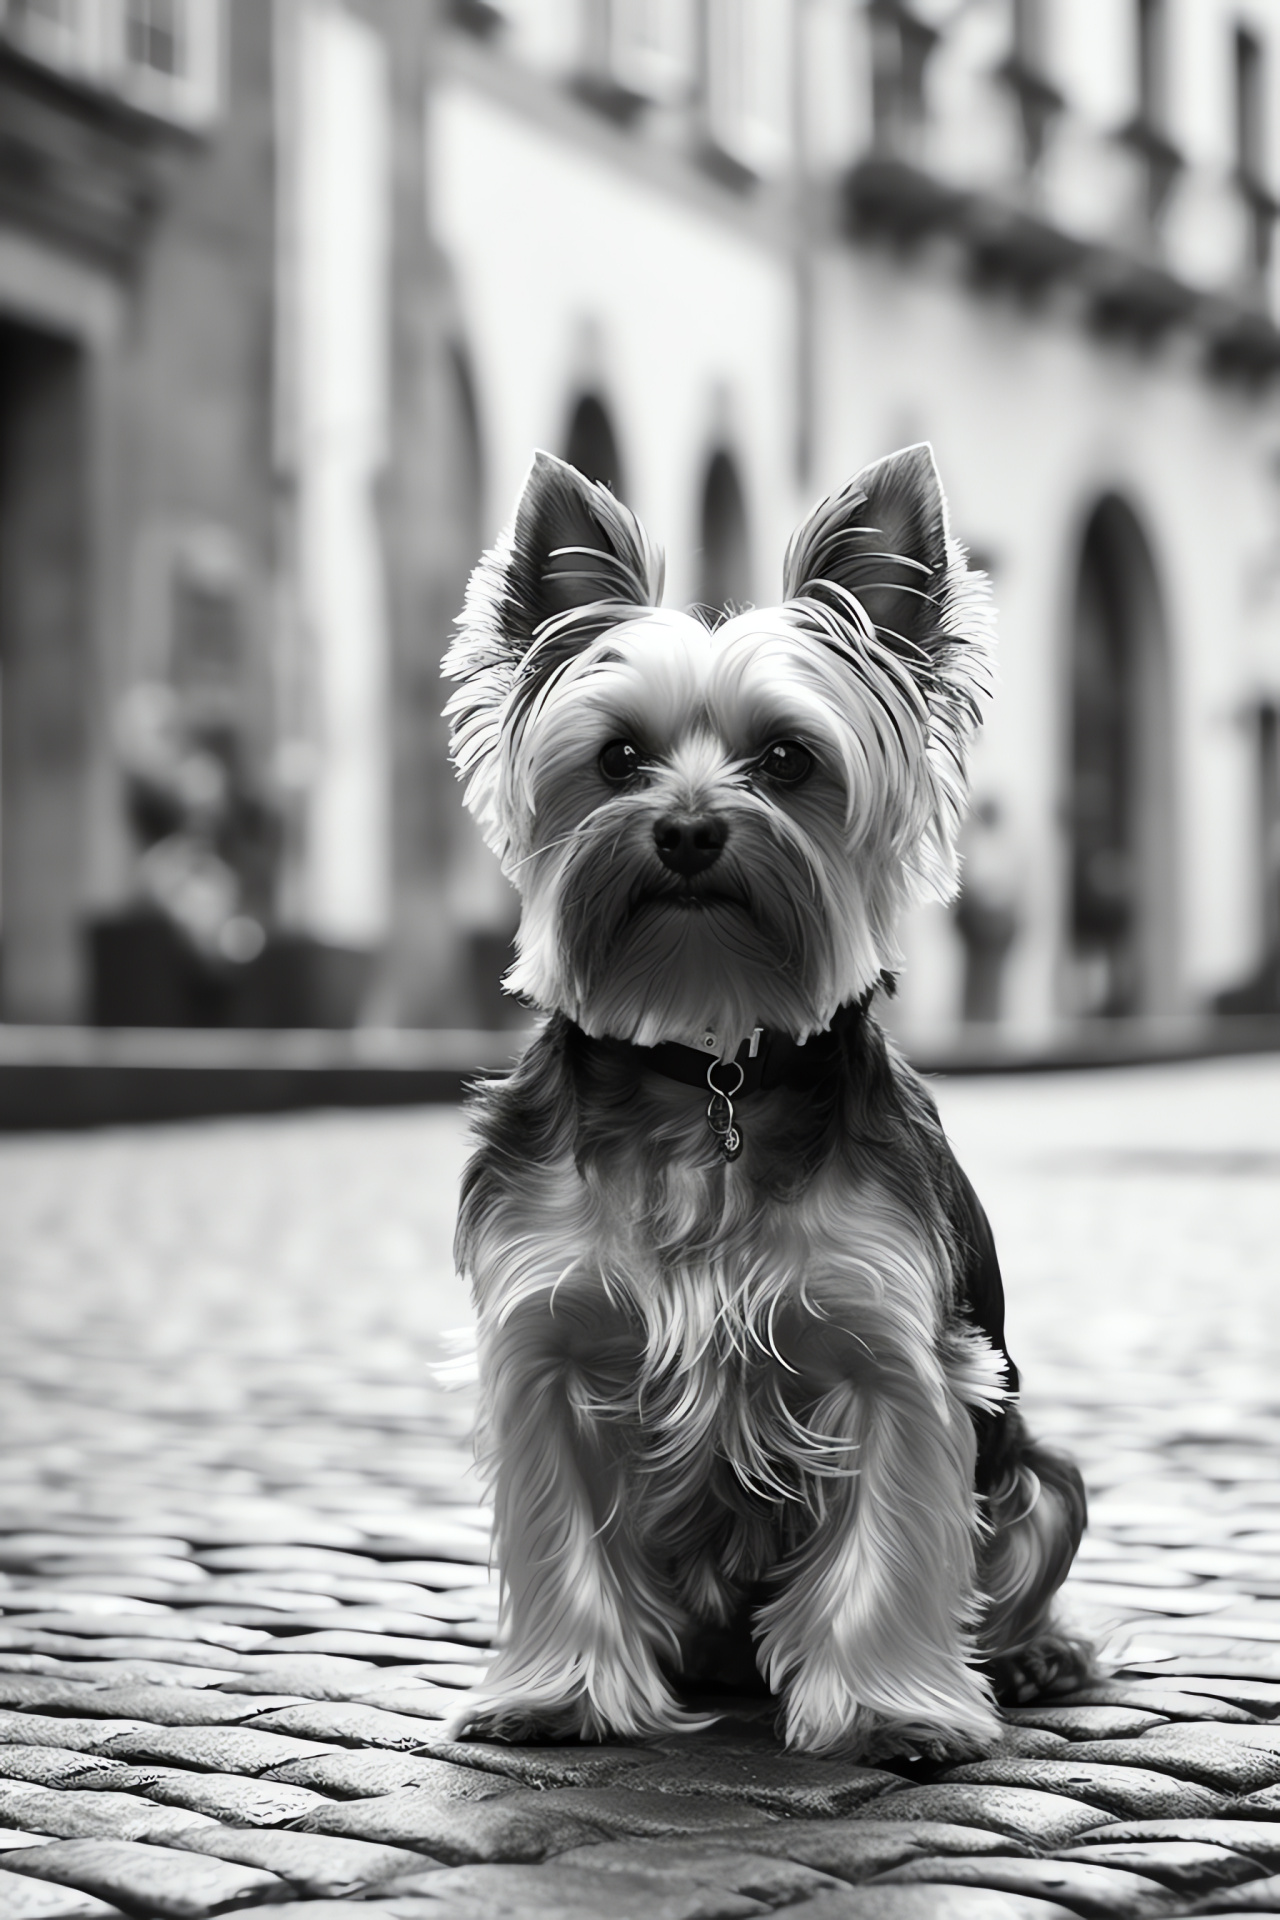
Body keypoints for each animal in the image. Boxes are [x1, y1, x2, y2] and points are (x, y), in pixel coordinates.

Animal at [443, 445, 1090, 1758]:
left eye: (787, 761)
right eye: (617, 760)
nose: (690, 829)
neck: (708, 1064)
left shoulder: (893, 1352)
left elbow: (892, 1539)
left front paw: (893, 1710)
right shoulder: (542, 1342)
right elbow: (555, 1527)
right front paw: (559, 1692)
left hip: (1040, 1475)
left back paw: (1030, 1655)